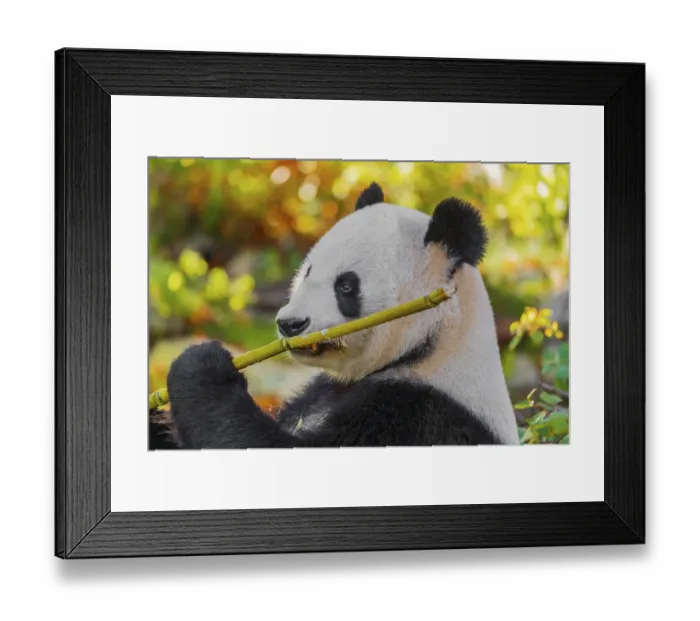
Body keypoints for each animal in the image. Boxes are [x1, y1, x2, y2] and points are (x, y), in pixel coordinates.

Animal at [151, 183, 519, 449]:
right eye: (307, 272)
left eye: (346, 286)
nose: (290, 324)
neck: (434, 346)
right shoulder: (318, 391)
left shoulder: (420, 414)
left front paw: (202, 364)